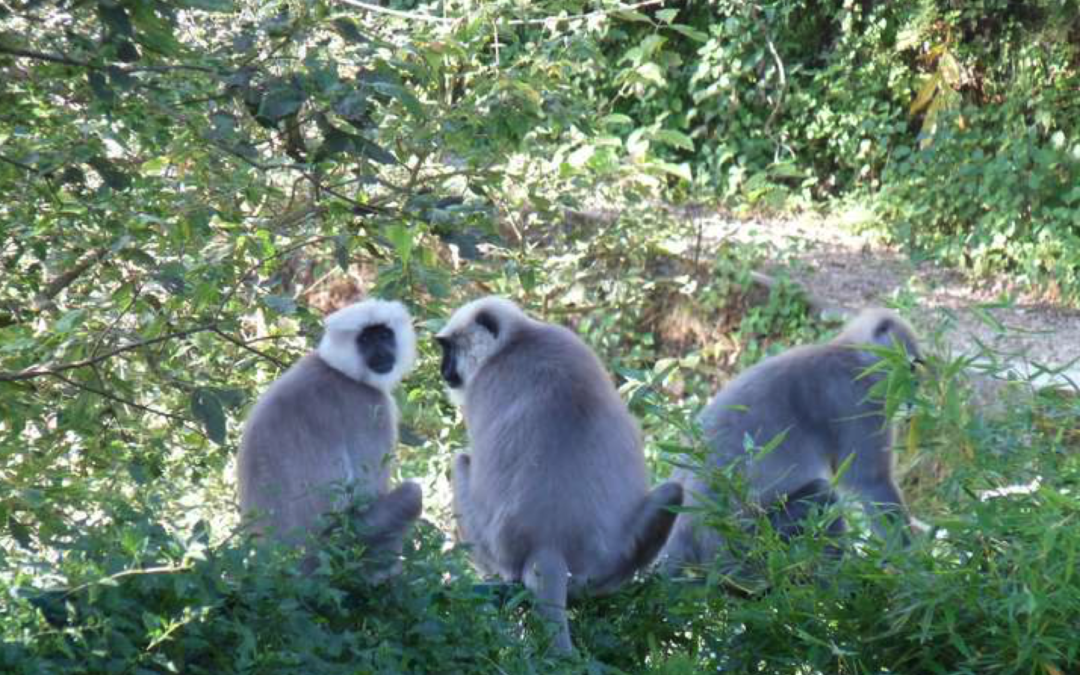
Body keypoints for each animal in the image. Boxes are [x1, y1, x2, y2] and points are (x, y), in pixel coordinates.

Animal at [237, 299, 422, 580]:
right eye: (365, 339)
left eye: (384, 335)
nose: (381, 352)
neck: (338, 370)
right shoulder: (371, 406)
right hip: (338, 547)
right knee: (412, 494)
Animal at [435, 296, 684, 654]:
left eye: (448, 349)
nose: (444, 371)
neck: (519, 339)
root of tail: (549, 544)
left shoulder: (482, 387)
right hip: (607, 559)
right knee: (673, 491)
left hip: (497, 549)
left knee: (460, 462)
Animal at [662, 308, 921, 575]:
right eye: (910, 368)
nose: (915, 388)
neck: (849, 355)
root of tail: (683, 533)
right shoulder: (857, 399)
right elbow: (871, 483)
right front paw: (914, 562)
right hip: (751, 542)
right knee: (822, 496)